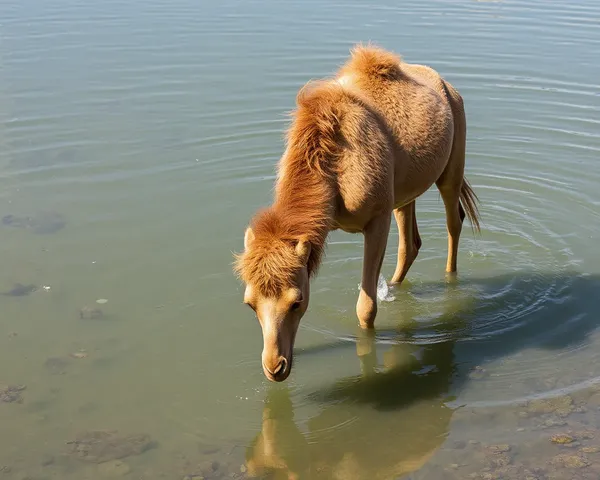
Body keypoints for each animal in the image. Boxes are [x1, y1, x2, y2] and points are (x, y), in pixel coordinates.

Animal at [232, 44, 480, 382]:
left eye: (297, 302)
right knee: (412, 243)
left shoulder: (377, 217)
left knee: (453, 223)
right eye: (250, 303)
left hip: (451, 169)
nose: (275, 367)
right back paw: (396, 288)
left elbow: (366, 307)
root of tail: (450, 88)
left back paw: (450, 281)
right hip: (404, 192)